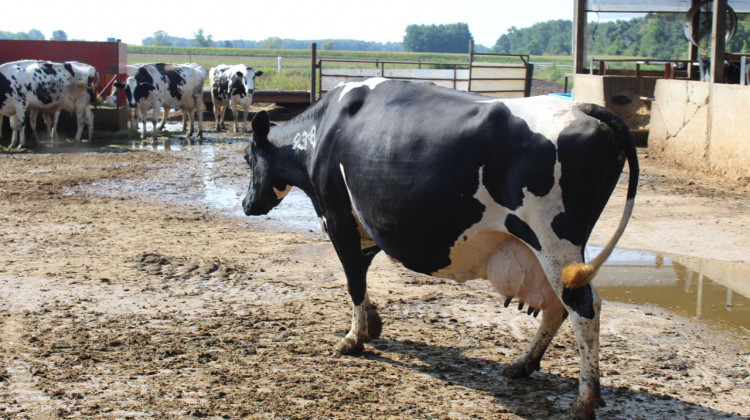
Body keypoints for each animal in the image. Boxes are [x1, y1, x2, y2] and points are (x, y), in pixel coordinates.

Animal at [242, 79, 640, 420]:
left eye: (247, 157)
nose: (246, 205)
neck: (321, 132)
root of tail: (584, 107)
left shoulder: (337, 216)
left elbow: (353, 280)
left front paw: (353, 339)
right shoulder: (364, 224)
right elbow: (363, 274)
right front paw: (372, 324)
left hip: (555, 240)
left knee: (583, 308)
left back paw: (585, 401)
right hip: (551, 252)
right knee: (558, 306)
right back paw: (522, 364)